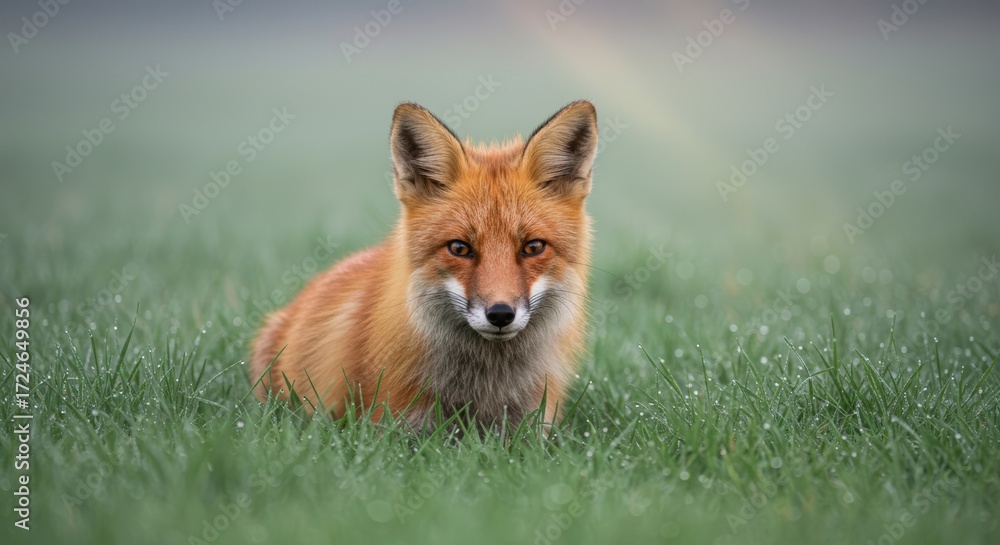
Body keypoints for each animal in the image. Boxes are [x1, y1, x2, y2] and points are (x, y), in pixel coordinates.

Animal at [249, 100, 598, 431]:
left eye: (533, 247)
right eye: (459, 248)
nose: (500, 314)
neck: (483, 387)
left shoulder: (531, 429)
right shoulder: (395, 429)